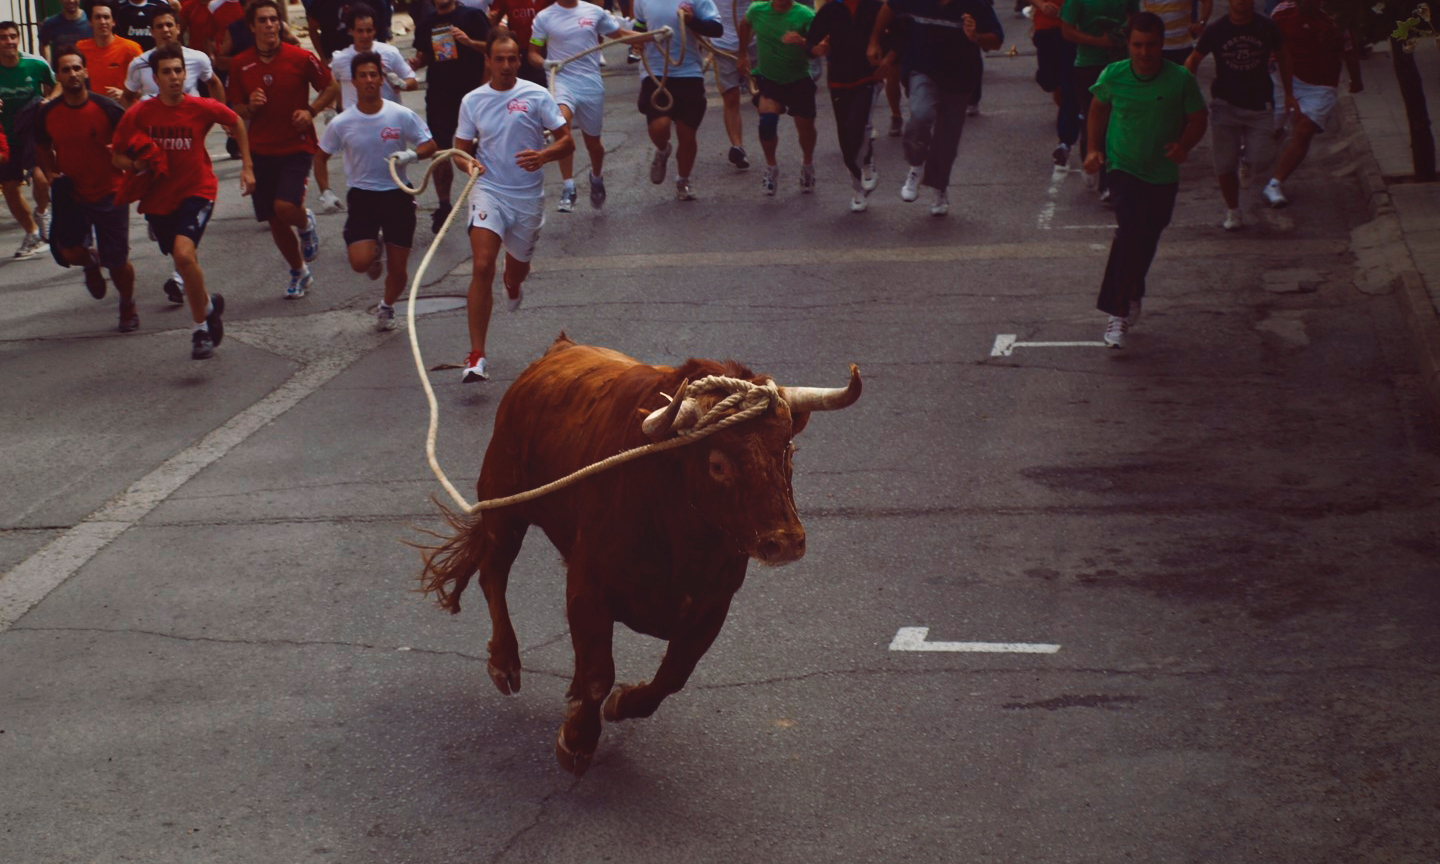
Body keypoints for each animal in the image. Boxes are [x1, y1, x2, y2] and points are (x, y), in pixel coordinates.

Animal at [420, 334, 858, 771]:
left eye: (789, 451)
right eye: (718, 465)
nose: (784, 541)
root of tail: (558, 349)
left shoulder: (714, 603)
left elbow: (673, 674)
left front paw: (623, 703)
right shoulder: (587, 587)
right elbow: (598, 673)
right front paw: (576, 740)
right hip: (502, 506)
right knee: (493, 574)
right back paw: (504, 663)